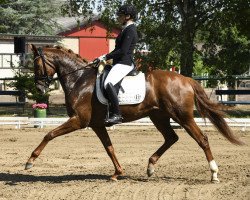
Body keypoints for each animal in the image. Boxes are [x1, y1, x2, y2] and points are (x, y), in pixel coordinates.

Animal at [26, 45, 243, 183]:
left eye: (36, 65)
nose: (39, 88)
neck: (79, 79)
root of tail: (186, 79)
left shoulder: (79, 121)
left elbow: (49, 134)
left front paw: (30, 162)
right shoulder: (97, 124)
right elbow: (109, 148)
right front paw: (117, 173)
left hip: (182, 116)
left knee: (202, 139)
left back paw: (214, 174)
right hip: (159, 116)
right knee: (171, 138)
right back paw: (150, 167)